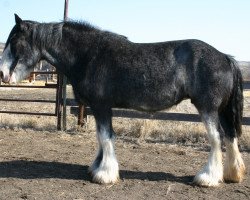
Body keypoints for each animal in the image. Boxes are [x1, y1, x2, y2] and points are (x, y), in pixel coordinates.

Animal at [0, 14, 246, 188]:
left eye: (14, 41)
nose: (2, 74)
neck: (89, 55)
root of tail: (225, 57)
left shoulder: (101, 106)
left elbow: (106, 137)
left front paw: (104, 174)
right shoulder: (97, 108)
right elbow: (101, 138)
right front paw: (96, 167)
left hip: (207, 108)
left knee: (217, 138)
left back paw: (208, 177)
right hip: (221, 110)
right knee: (230, 136)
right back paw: (232, 174)